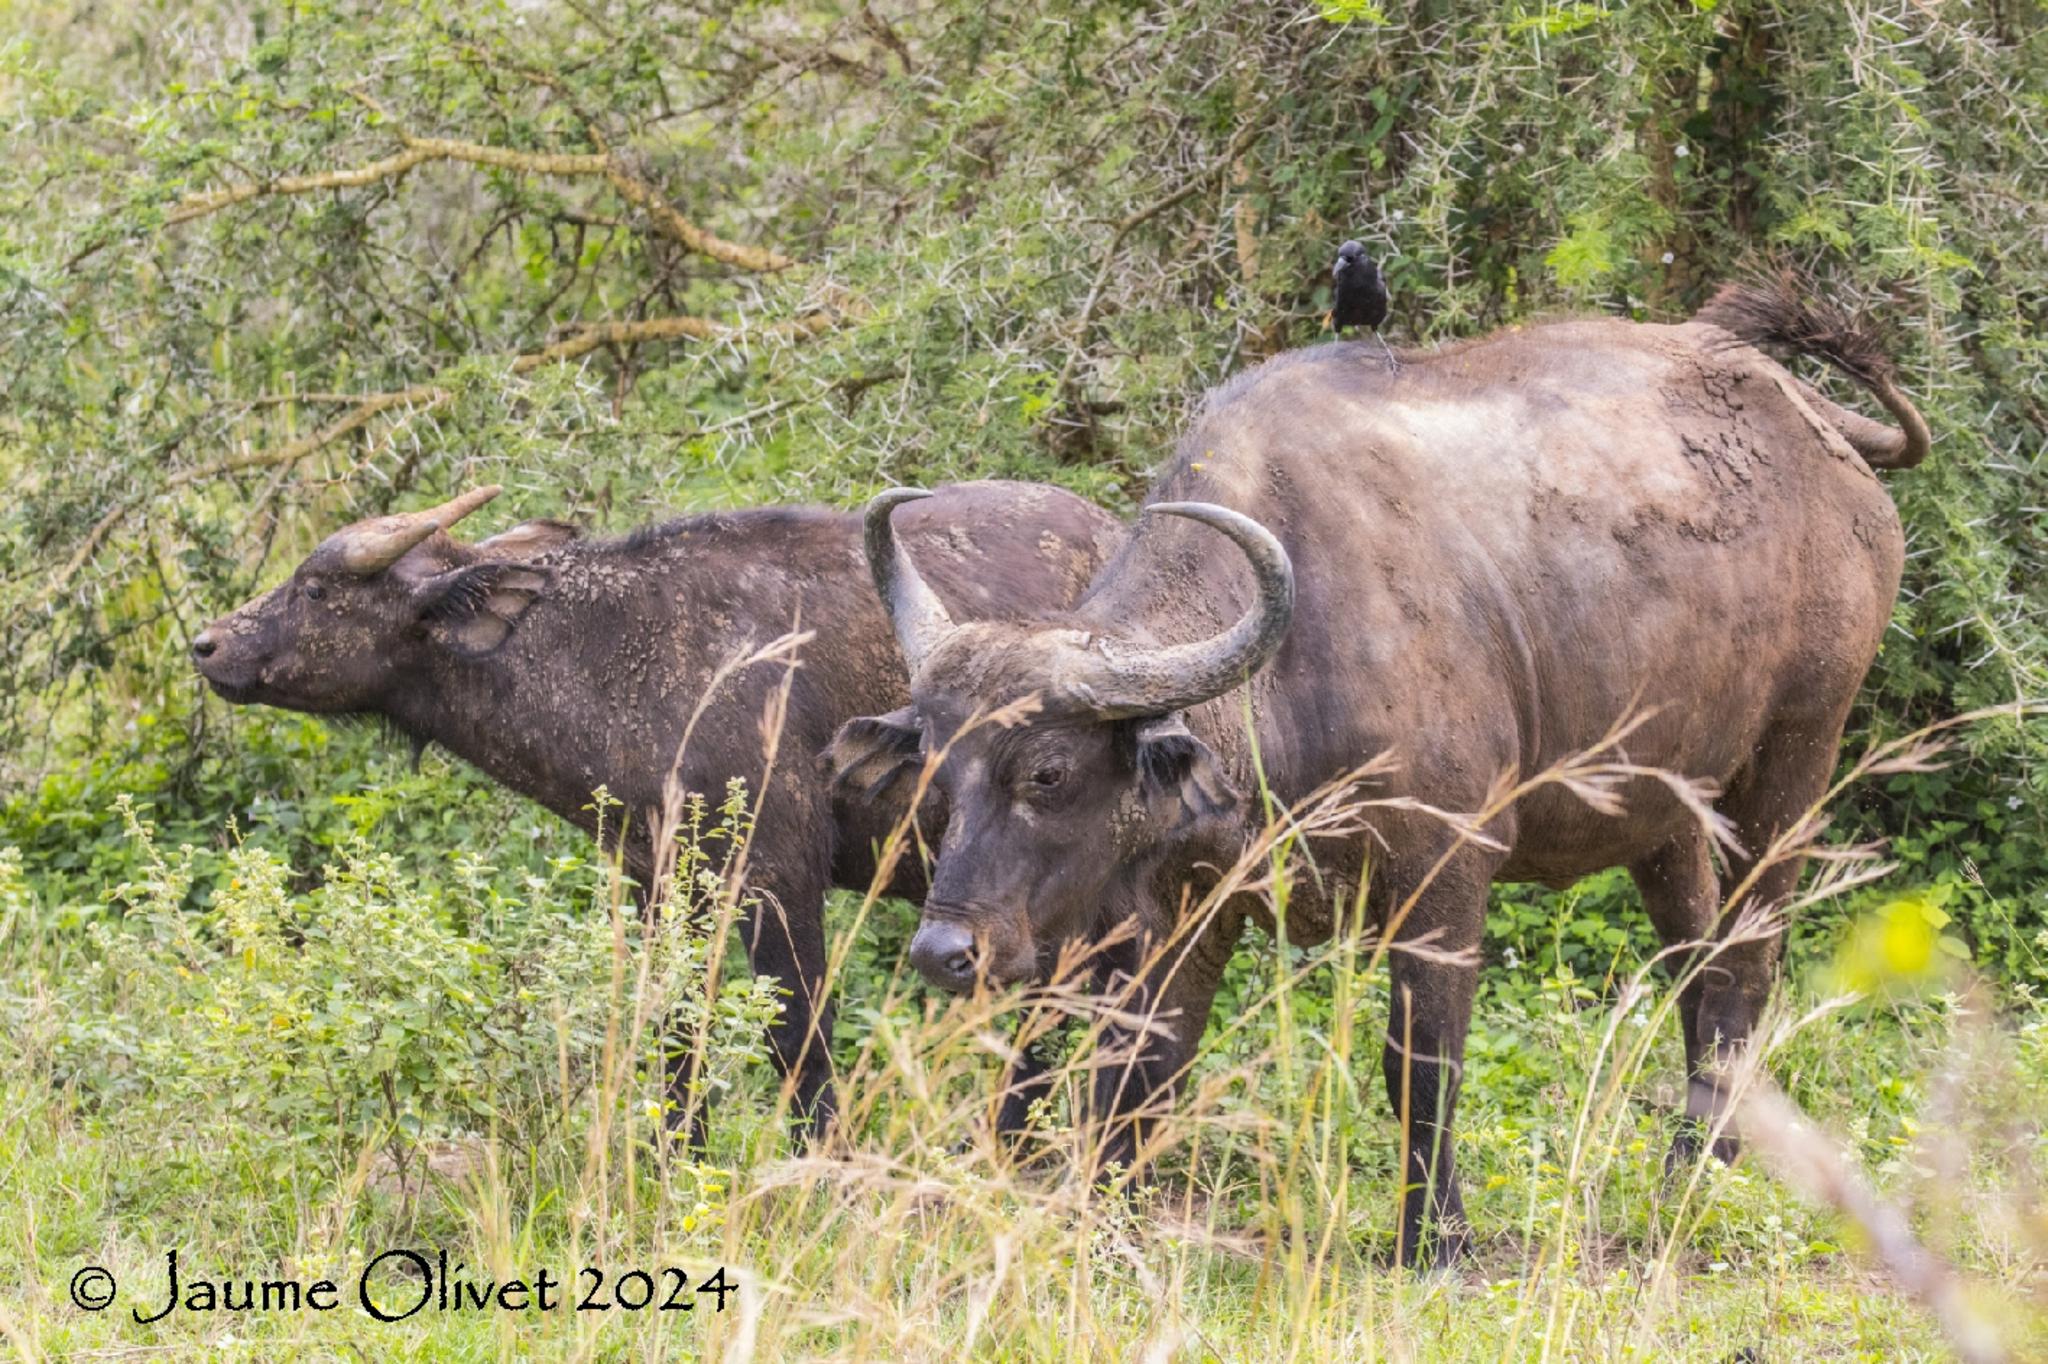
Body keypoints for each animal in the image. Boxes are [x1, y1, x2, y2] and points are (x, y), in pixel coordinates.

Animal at [192, 477, 1122, 1138]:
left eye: (318, 589)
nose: (206, 644)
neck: (618, 653)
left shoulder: (777, 880)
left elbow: (797, 1039)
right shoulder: (656, 883)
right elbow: (673, 1032)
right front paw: (678, 1160)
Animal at [827, 280, 1916, 1261]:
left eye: (1047, 772)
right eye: (936, 773)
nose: (944, 952)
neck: (1296, 657)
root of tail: (1817, 428)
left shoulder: (1445, 870)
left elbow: (1419, 1062)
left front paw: (1433, 1238)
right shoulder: (1191, 904)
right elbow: (1140, 1064)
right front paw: (1105, 1222)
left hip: (1792, 760)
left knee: (1747, 962)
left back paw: (1688, 1183)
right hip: (1666, 811)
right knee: (1697, 965)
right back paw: (1706, 1158)